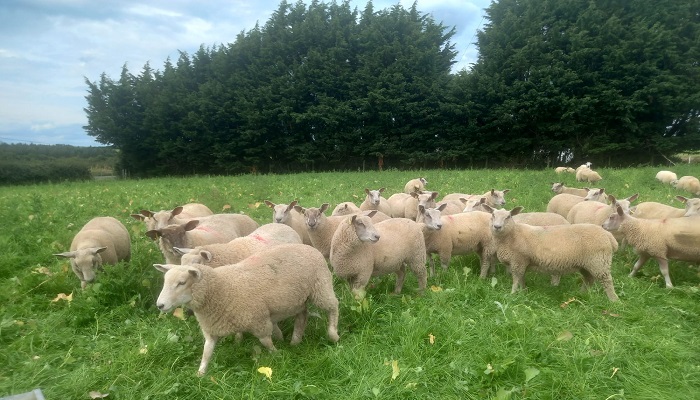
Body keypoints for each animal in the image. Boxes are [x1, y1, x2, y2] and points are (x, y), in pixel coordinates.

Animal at [154, 243, 340, 376]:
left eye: (181, 282)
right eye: (165, 281)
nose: (160, 305)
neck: (220, 288)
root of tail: (308, 246)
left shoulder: (259, 321)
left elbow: (267, 342)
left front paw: (278, 355)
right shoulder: (212, 328)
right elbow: (207, 351)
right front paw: (200, 374)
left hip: (320, 287)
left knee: (333, 307)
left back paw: (333, 334)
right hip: (297, 299)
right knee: (303, 315)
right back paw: (296, 340)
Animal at [484, 205, 619, 301]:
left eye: (508, 217)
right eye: (493, 215)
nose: (497, 227)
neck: (512, 235)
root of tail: (609, 236)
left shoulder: (518, 261)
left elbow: (516, 279)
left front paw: (512, 294)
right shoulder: (522, 262)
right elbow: (521, 278)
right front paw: (523, 292)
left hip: (599, 261)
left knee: (607, 281)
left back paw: (614, 301)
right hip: (586, 264)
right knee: (589, 279)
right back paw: (581, 294)